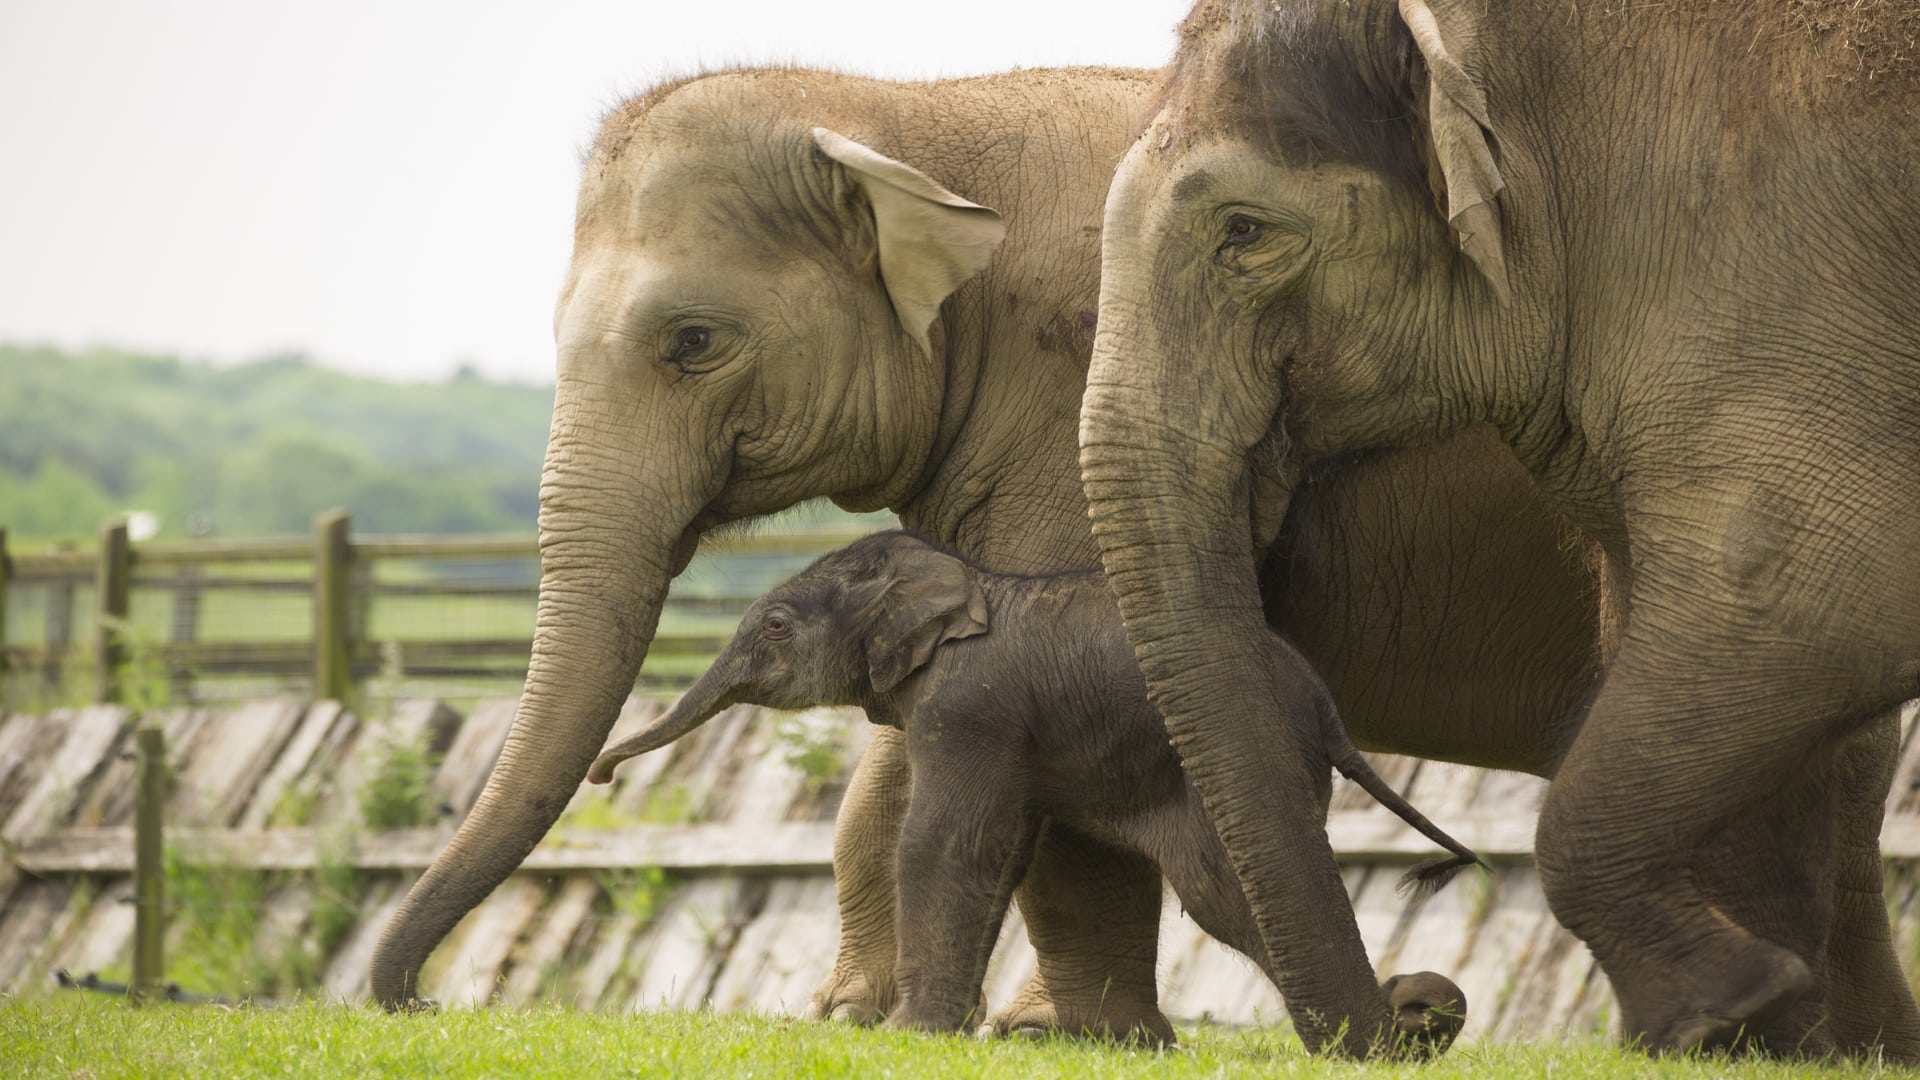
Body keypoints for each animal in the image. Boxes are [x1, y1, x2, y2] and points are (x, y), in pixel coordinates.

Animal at [587, 530, 1482, 1053]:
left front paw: (914, 1037)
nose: (603, 774)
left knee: (1219, 887)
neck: (955, 580)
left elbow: (944, 842)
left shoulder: (967, 704)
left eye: (775, 625)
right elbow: (1002, 847)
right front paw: (951, 1031)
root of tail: (1327, 708)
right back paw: (1408, 1011)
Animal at [1082, 0, 1920, 1060]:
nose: (1421, 1008)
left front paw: (1722, 1008)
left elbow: (1806, 597)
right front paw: (1776, 1030)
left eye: (1244, 231)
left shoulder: (1774, 294)